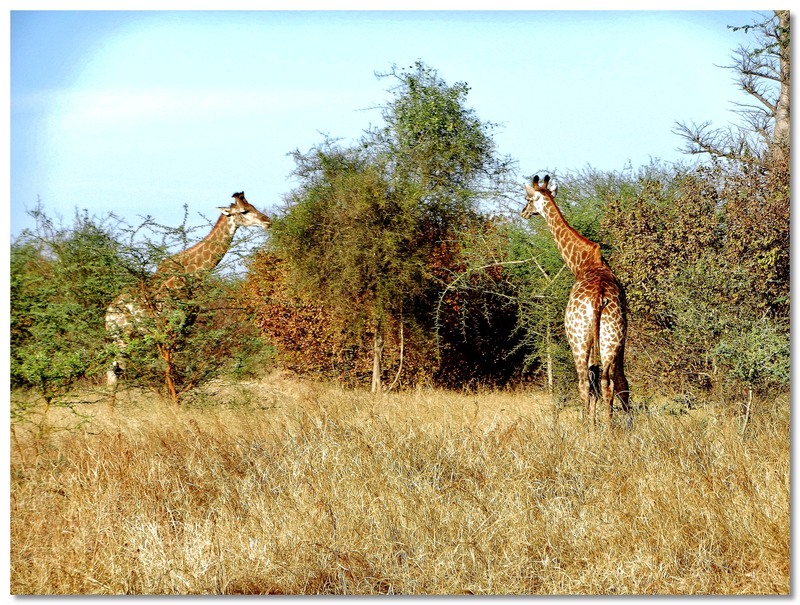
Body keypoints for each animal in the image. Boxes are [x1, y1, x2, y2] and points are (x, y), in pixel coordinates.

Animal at [105, 191, 272, 384]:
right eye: (244, 211)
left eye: (252, 206)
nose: (268, 221)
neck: (191, 275)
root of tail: (108, 315)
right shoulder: (175, 325)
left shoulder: (185, 326)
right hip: (122, 338)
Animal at [520, 175, 628, 424]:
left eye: (528, 199)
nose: (523, 213)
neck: (583, 263)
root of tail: (599, 298)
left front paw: (590, 425)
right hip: (612, 338)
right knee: (611, 382)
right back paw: (612, 428)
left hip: (577, 340)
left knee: (585, 383)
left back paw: (586, 427)